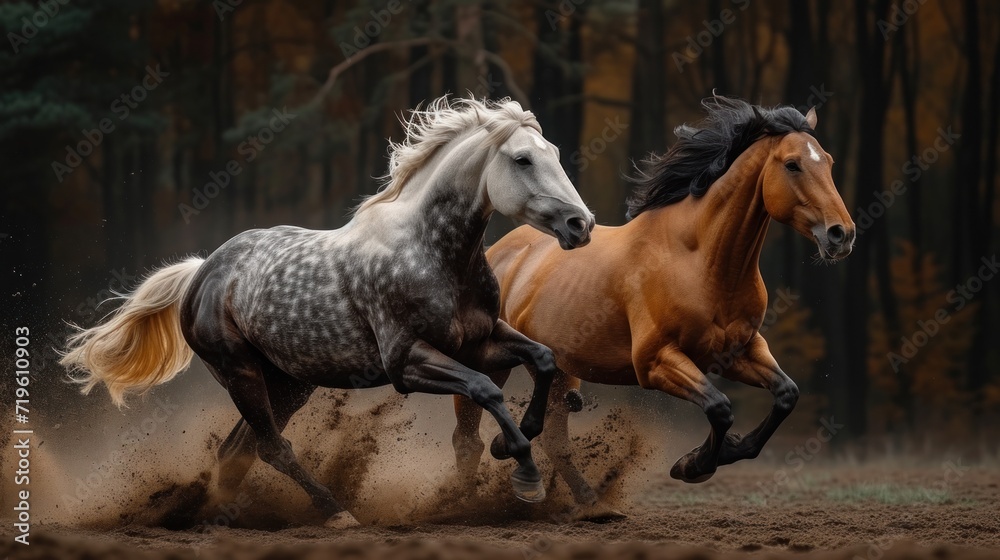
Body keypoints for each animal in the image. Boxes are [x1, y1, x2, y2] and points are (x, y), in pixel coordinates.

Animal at [60, 96, 596, 528]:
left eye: (555, 154)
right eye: (522, 158)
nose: (581, 224)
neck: (435, 255)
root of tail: (201, 272)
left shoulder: (480, 342)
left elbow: (544, 359)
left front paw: (514, 443)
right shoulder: (406, 362)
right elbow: (486, 389)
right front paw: (525, 474)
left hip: (288, 383)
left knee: (238, 450)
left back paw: (217, 517)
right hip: (240, 373)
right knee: (270, 447)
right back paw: (336, 512)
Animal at [451, 95, 855, 513]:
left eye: (827, 161)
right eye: (792, 164)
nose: (841, 234)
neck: (700, 262)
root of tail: (495, 253)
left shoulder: (739, 351)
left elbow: (786, 395)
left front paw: (720, 453)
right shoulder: (655, 361)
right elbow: (720, 407)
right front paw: (694, 465)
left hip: (560, 370)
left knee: (553, 438)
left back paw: (590, 505)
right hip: (490, 358)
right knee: (469, 438)